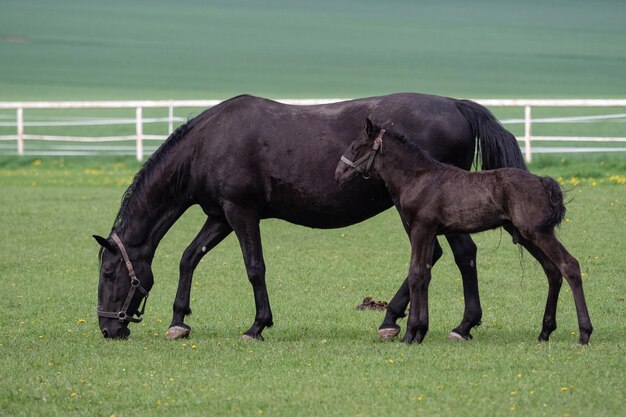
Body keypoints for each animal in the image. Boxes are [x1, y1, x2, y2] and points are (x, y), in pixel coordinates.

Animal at [92, 92, 524, 340]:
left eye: (109, 274)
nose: (108, 327)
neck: (209, 142)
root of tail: (456, 105)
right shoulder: (220, 215)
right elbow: (188, 258)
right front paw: (178, 321)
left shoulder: (241, 212)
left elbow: (254, 267)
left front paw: (257, 325)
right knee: (443, 256)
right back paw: (394, 320)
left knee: (461, 255)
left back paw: (460, 326)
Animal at [334, 118, 592, 342]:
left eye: (355, 147)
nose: (337, 175)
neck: (417, 177)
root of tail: (542, 181)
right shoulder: (429, 232)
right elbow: (425, 273)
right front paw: (420, 332)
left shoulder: (421, 228)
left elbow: (416, 273)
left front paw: (410, 334)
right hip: (527, 234)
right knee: (552, 271)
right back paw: (545, 332)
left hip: (538, 233)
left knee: (569, 265)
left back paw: (584, 333)